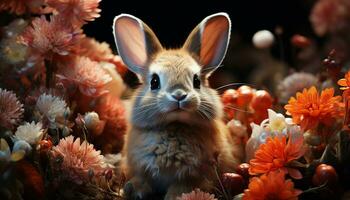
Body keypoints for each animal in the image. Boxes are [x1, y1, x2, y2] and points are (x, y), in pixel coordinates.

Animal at [113, 12, 242, 200]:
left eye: (196, 81)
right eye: (154, 81)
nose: (179, 95)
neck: (174, 125)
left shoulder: (194, 176)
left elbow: (184, 186)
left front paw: (176, 196)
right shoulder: (139, 168)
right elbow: (142, 179)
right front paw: (133, 190)